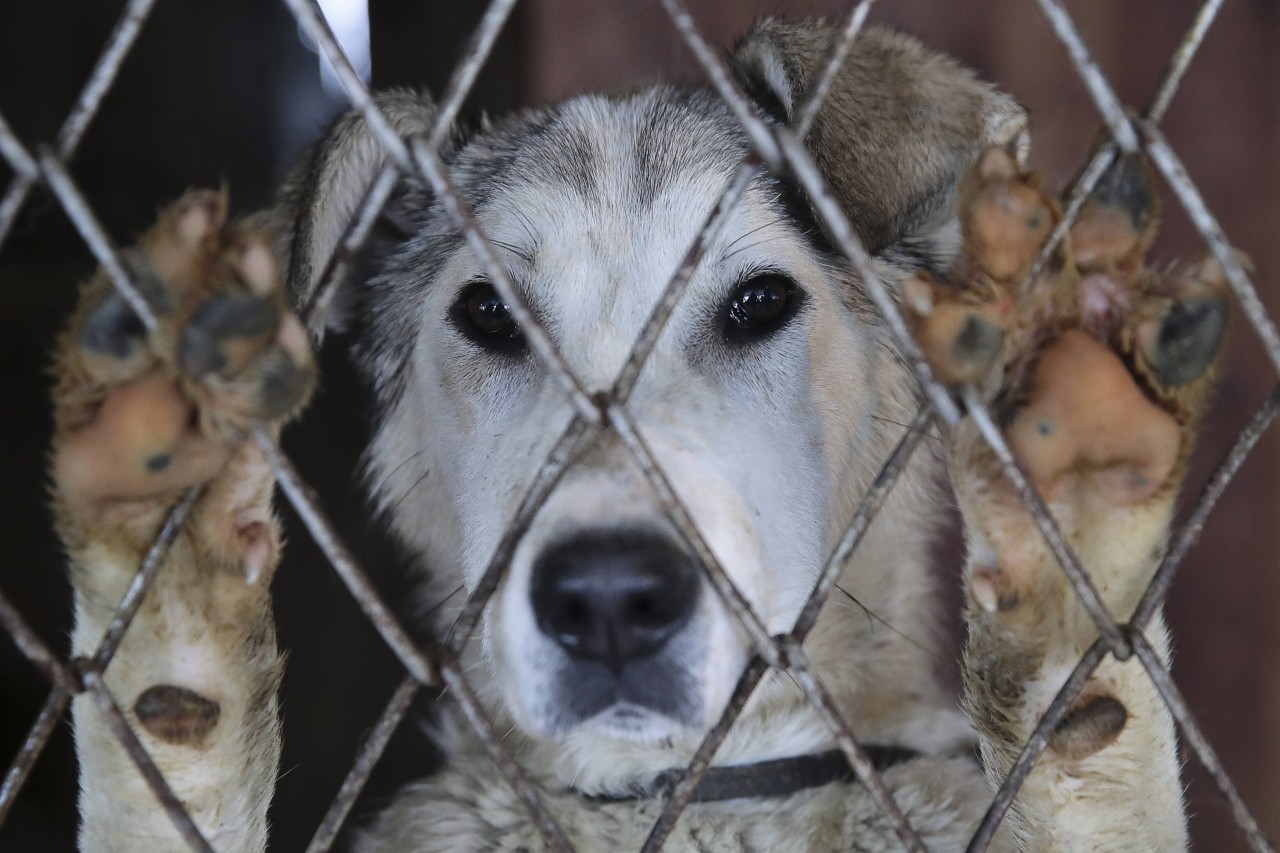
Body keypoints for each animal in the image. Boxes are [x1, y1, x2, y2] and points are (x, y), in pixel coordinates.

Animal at [52, 16, 1228, 845]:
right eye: (490, 314)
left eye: (758, 302)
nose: (609, 599)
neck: (683, 792)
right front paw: (168, 582)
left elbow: (1095, 727)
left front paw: (1075, 528)